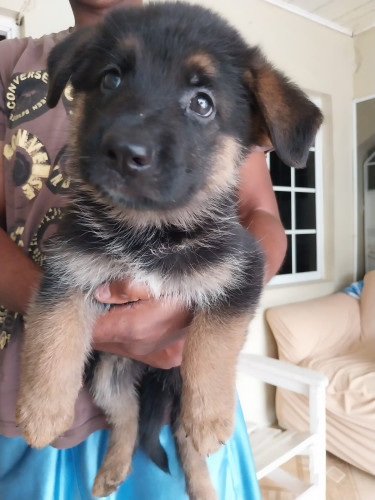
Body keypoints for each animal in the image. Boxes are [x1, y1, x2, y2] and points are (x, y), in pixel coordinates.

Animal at [16, 1, 324, 498]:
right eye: (110, 80)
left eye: (202, 103)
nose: (124, 151)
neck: (149, 233)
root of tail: (152, 380)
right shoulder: (68, 273)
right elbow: (52, 340)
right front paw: (41, 412)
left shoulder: (239, 275)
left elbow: (211, 345)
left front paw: (211, 416)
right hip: (108, 377)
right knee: (125, 420)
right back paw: (111, 471)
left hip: (173, 388)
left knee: (185, 441)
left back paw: (202, 482)